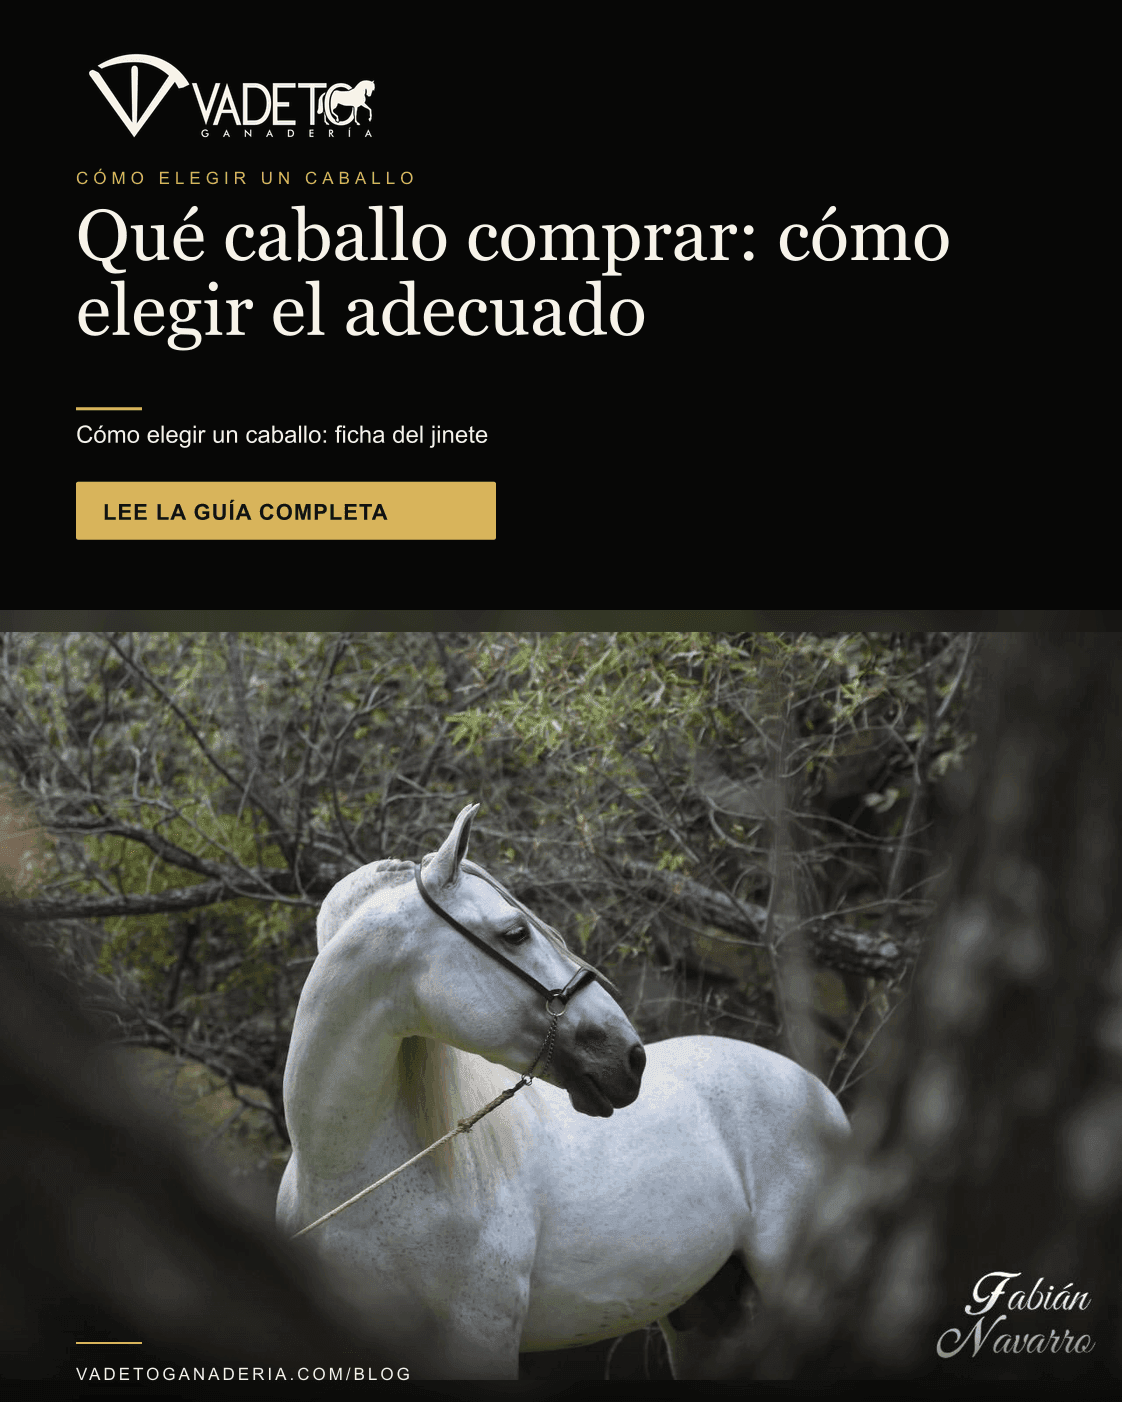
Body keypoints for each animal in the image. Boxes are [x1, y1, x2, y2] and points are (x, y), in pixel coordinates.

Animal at [277, 803, 849, 1379]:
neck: (347, 1176)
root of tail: (818, 1093)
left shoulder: (480, 1335)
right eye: (514, 933)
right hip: (706, 1315)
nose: (631, 1056)